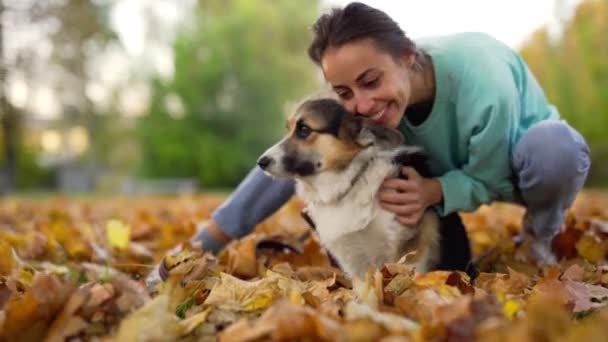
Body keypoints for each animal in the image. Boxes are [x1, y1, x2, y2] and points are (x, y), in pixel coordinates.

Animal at [256, 97, 460, 280]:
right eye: (288, 129)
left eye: (304, 129)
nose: (261, 162)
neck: (351, 182)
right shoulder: (352, 261)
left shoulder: (412, 252)